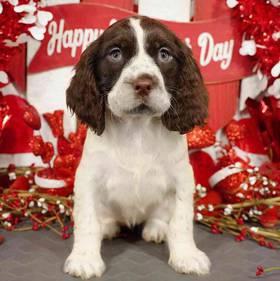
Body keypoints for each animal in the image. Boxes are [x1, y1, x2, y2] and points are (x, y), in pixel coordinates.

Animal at [64, 15, 210, 278]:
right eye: (115, 54)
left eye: (164, 54)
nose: (143, 84)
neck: (137, 129)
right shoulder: (88, 177)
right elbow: (87, 220)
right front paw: (84, 258)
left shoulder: (183, 177)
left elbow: (181, 220)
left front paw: (187, 256)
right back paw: (108, 227)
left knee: (163, 216)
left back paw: (157, 229)